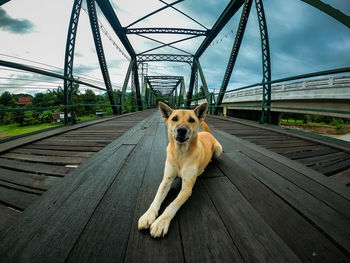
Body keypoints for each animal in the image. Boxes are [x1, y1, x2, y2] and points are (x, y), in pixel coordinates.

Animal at [137, 102, 221, 238]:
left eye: (191, 120)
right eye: (174, 118)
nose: (181, 130)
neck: (180, 153)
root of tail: (207, 133)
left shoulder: (186, 188)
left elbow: (172, 205)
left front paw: (161, 222)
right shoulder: (166, 181)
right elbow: (156, 199)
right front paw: (148, 215)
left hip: (218, 150)